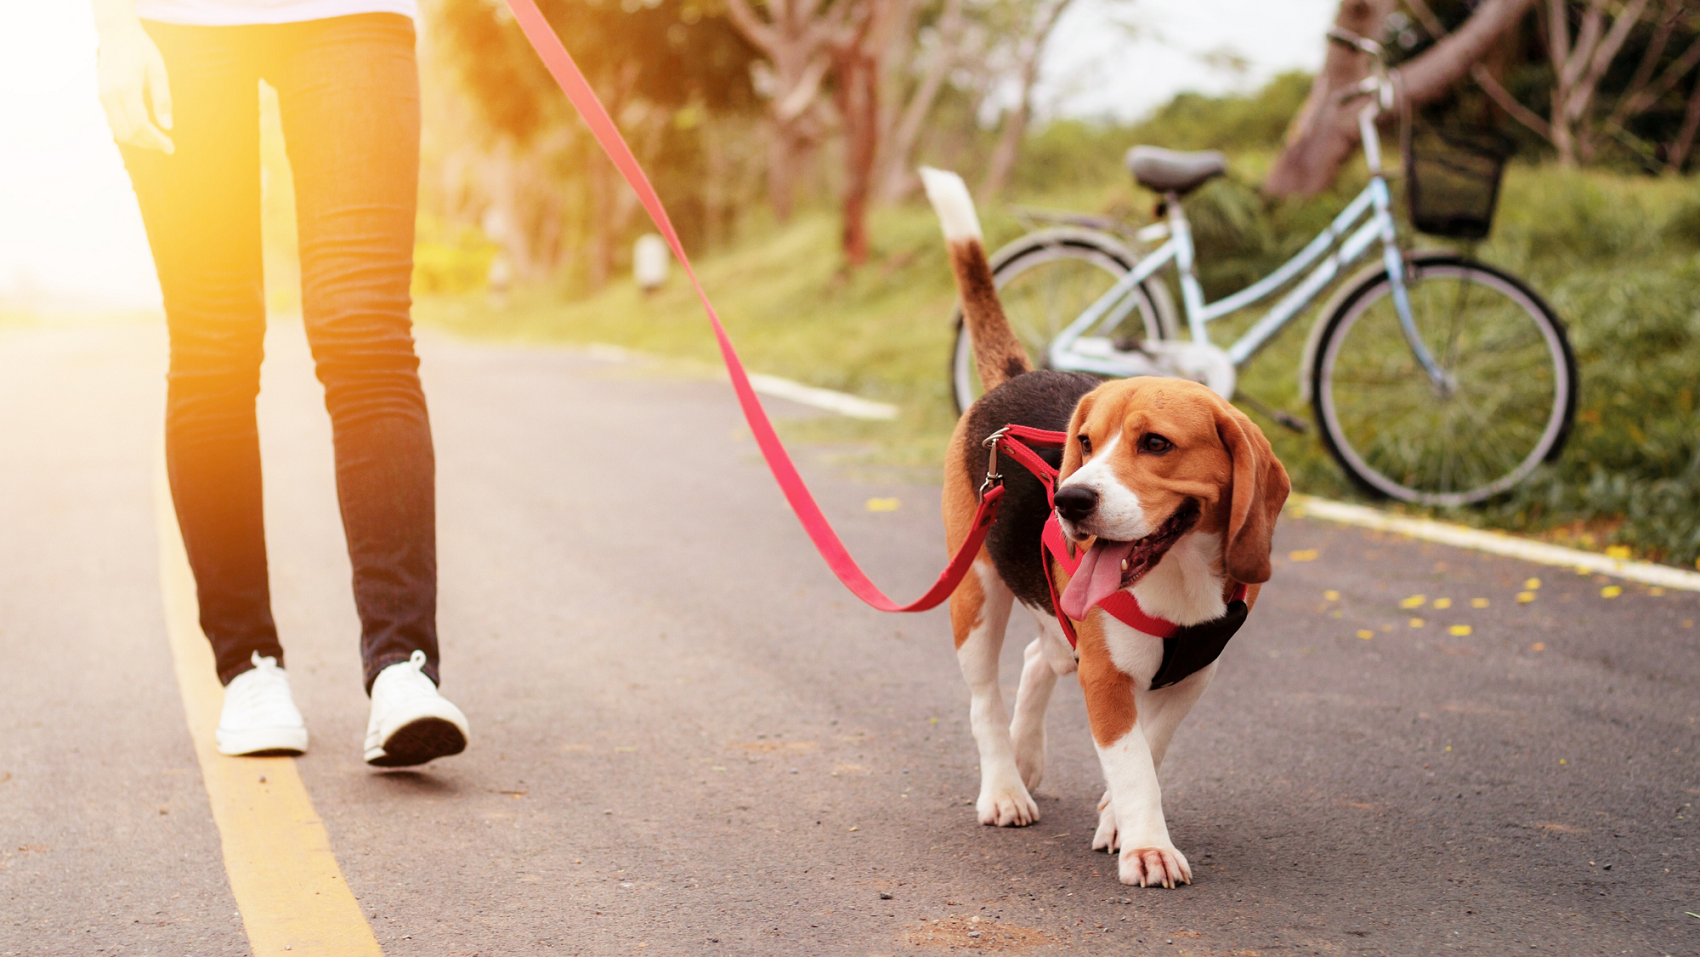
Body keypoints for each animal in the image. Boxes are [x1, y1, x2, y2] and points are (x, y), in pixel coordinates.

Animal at [924, 166, 1292, 890]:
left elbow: (1148, 749)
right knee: (984, 700)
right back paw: (1004, 786)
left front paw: (1117, 820)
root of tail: (1016, 376)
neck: (1178, 578)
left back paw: (1028, 756)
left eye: (1155, 444)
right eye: (1087, 442)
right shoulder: (1105, 673)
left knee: (1039, 657)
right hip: (975, 595)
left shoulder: (1190, 675)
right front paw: (1147, 845)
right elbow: (1133, 763)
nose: (1070, 500)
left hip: (1057, 625)